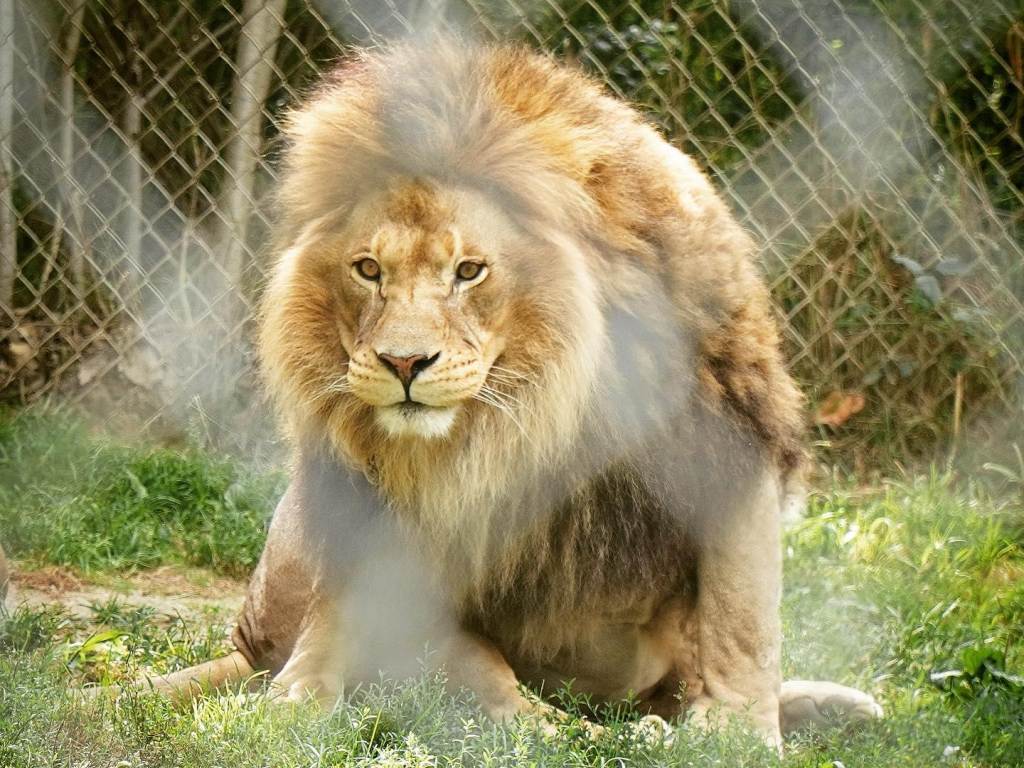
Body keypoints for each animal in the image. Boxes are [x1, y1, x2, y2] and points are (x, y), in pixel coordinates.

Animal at [136, 39, 882, 747]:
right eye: (368, 269)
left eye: (470, 270)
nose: (403, 361)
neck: (547, 396)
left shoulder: (733, 418)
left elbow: (742, 622)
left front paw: (738, 733)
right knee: (501, 701)